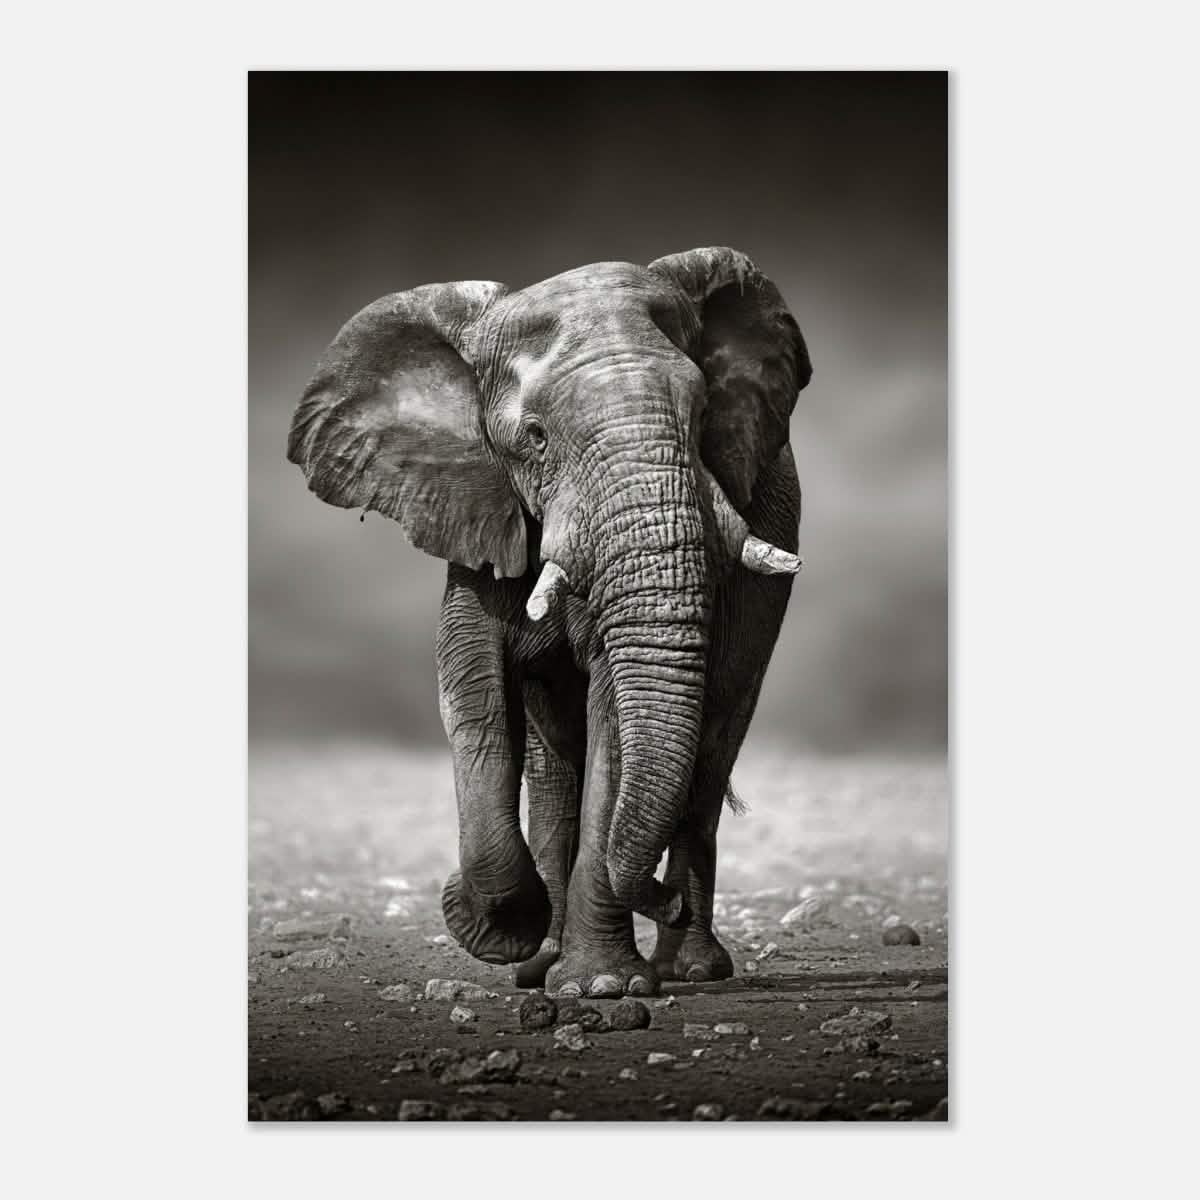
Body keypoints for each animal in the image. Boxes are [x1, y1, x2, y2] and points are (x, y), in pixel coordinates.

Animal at [287, 247, 811, 998]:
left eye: (704, 411)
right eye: (534, 438)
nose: (661, 900)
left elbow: (613, 714)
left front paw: (603, 987)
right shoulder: (477, 507)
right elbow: (472, 691)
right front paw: (500, 929)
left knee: (710, 748)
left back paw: (688, 968)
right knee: (554, 766)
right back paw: (543, 963)